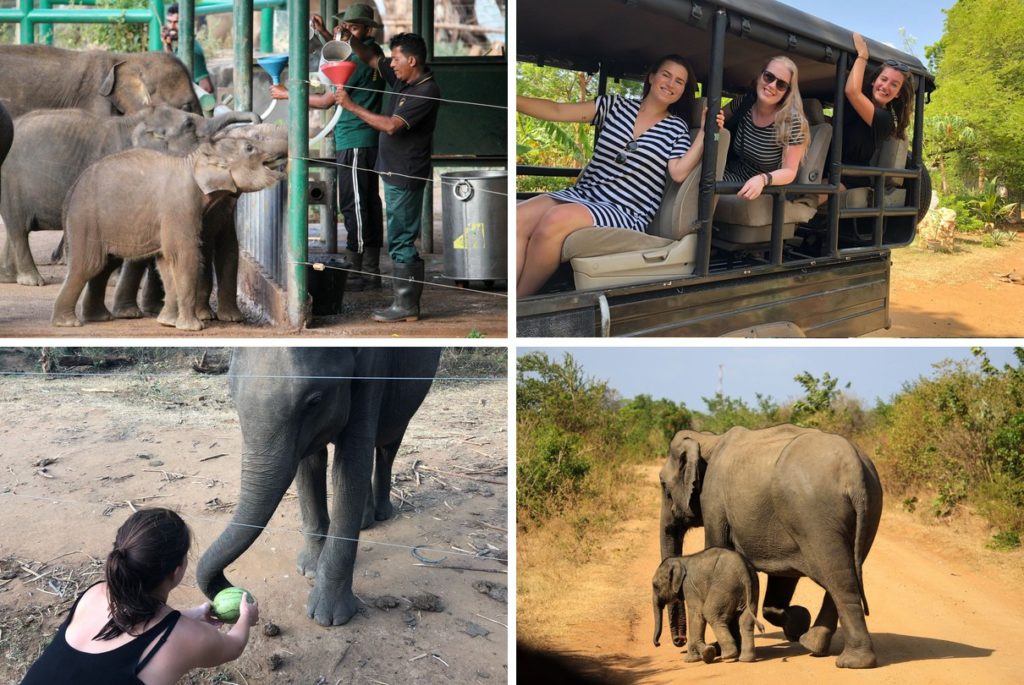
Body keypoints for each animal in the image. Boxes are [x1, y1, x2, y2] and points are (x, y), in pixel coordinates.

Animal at [52, 126, 288, 331]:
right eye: (249, 148)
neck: (194, 160)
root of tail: (72, 189)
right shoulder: (180, 206)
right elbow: (185, 255)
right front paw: (193, 328)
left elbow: (169, 260)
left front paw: (168, 322)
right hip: (86, 220)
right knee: (88, 265)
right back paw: (68, 323)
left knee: (105, 265)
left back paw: (99, 317)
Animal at [197, 348, 442, 626]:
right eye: (232, 396)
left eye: (314, 401)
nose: (242, 595)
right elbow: (311, 463)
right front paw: (309, 570)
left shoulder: (373, 370)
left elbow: (350, 464)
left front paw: (329, 618)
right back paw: (365, 521)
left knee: (388, 443)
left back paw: (382, 514)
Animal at [659, 423, 884, 663]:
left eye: (663, 485)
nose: (679, 641)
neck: (708, 439)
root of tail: (854, 467)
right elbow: (782, 577)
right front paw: (796, 624)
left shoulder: (713, 501)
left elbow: (720, 546)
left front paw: (722, 650)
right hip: (868, 507)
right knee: (846, 574)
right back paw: (815, 644)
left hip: (815, 517)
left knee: (837, 577)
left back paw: (850, 661)